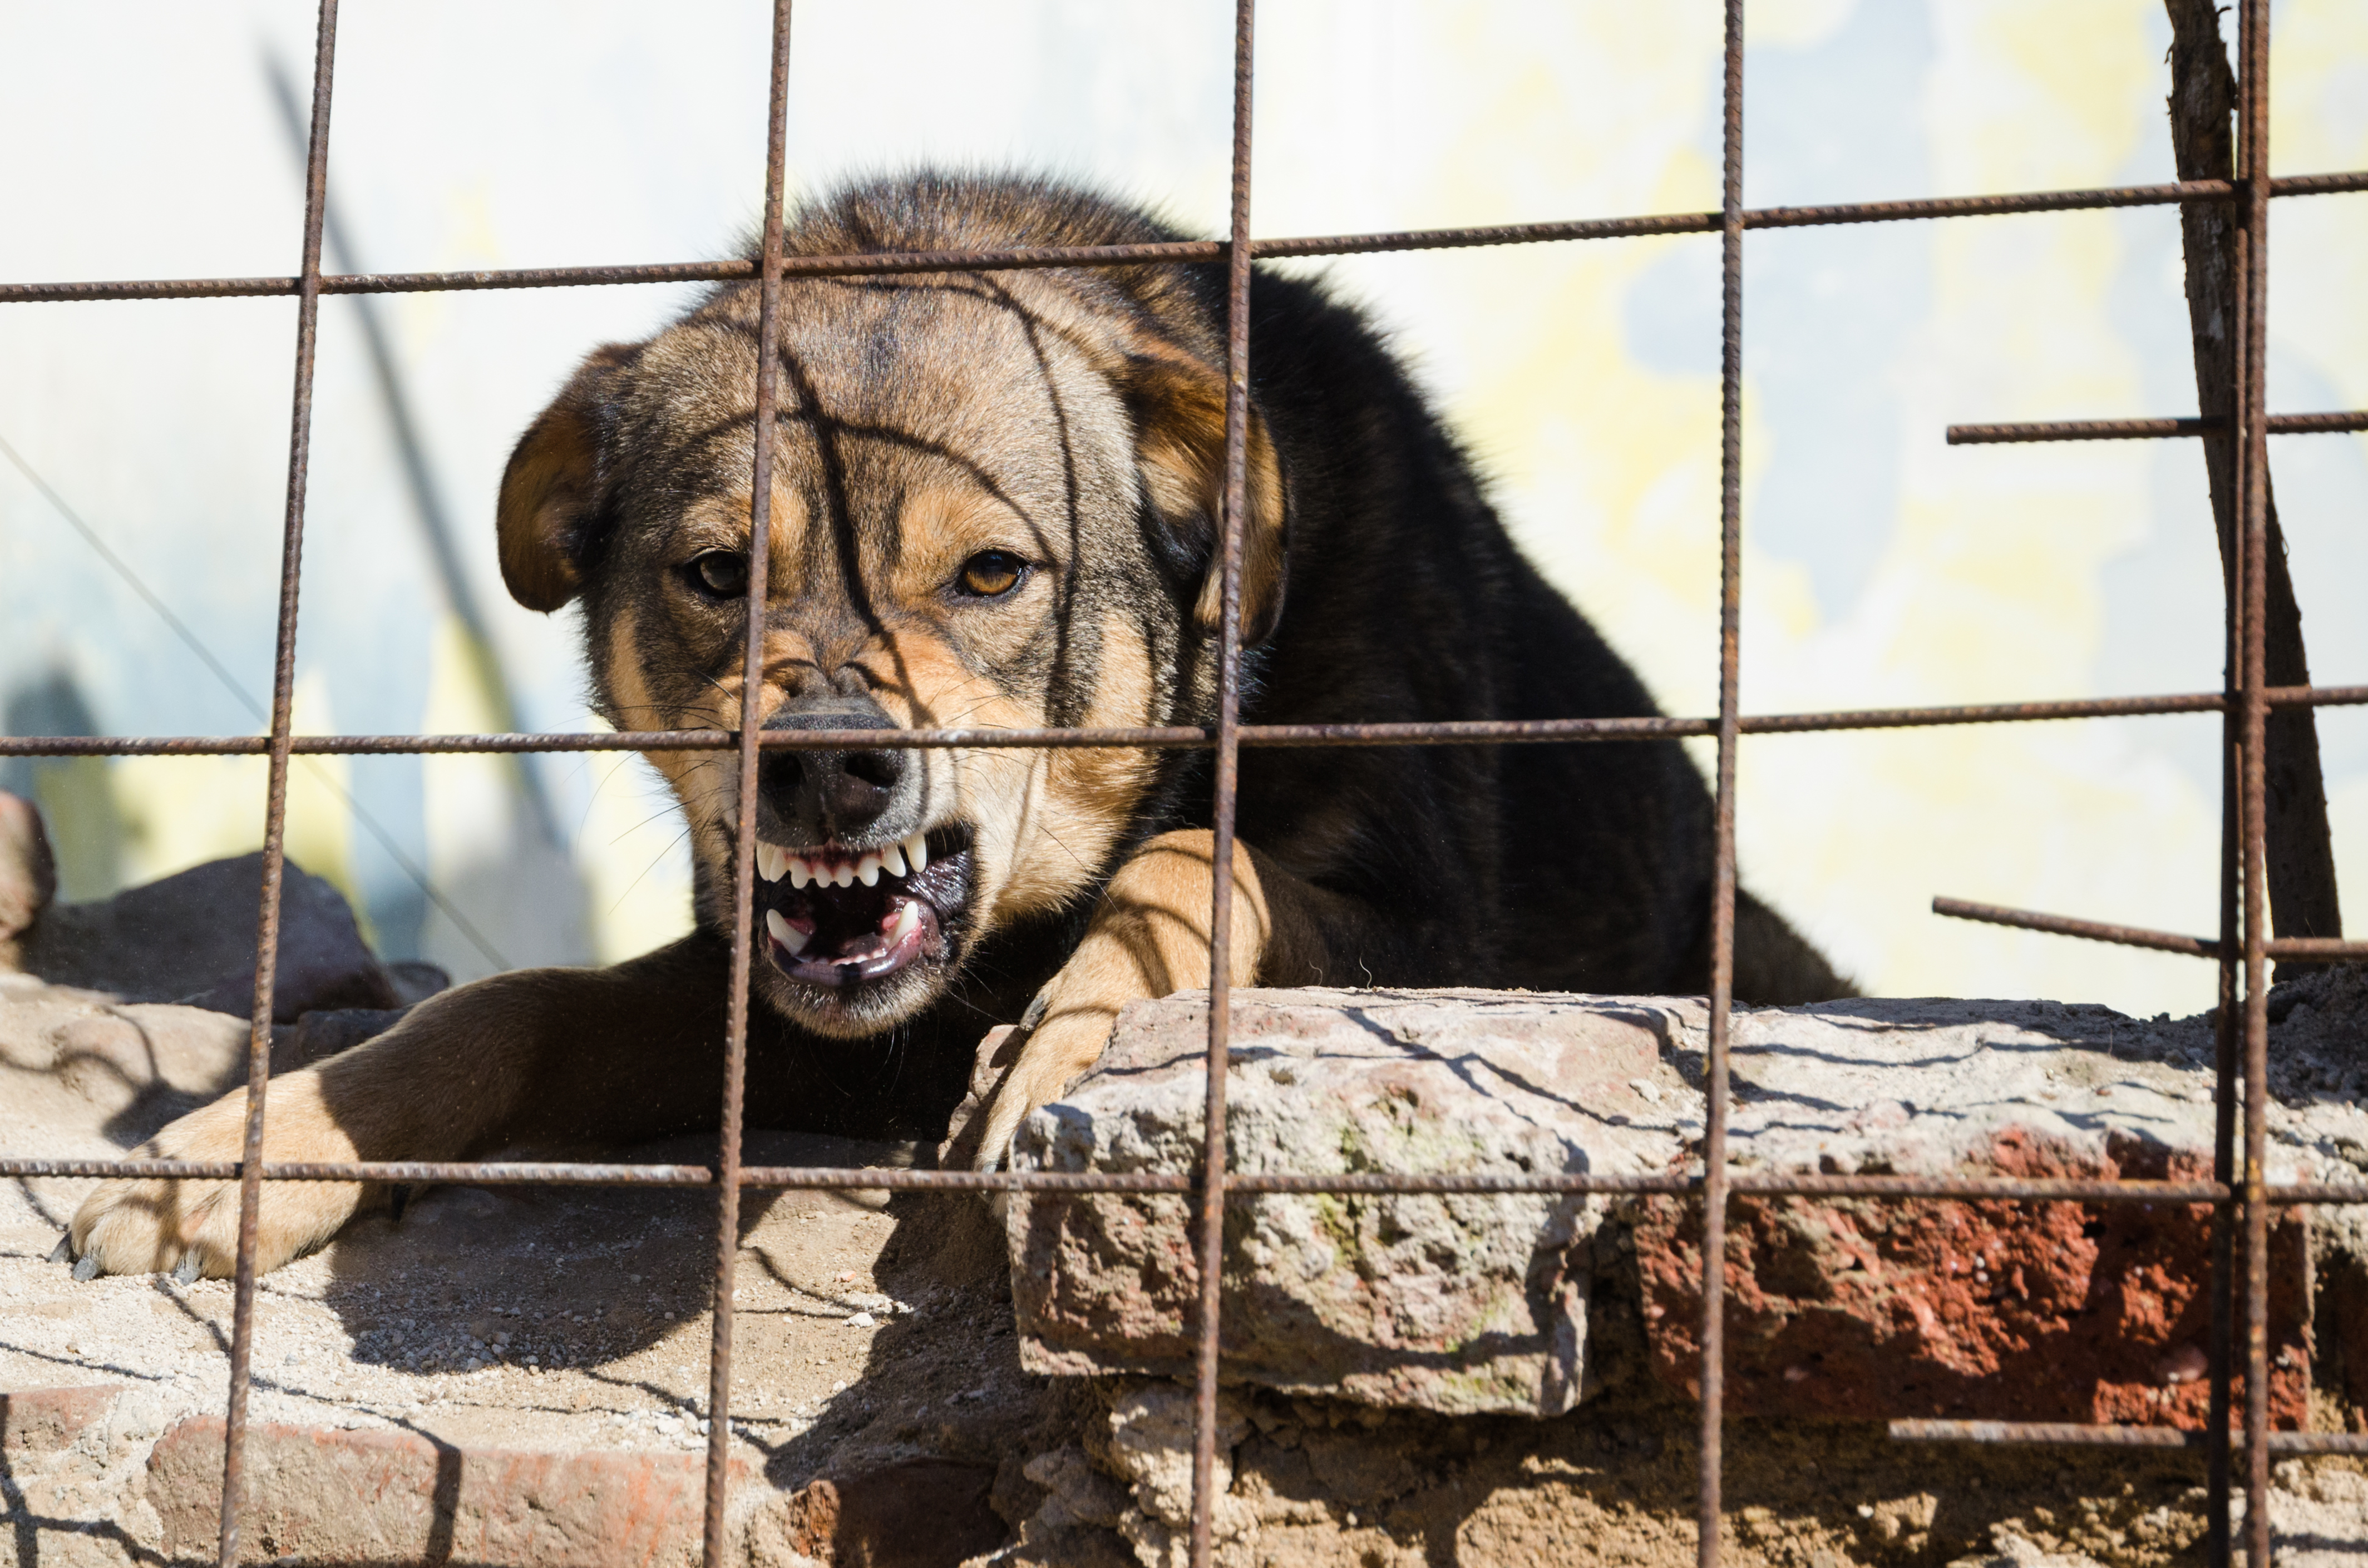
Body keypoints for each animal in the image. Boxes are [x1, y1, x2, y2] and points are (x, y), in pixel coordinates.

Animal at [60, 171, 1847, 1288]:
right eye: (718, 574)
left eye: (991, 572)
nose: (827, 766)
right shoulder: (794, 1019)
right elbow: (509, 1004)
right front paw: (258, 1143)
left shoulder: (1439, 940)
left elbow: (1201, 862)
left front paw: (1072, 1028)